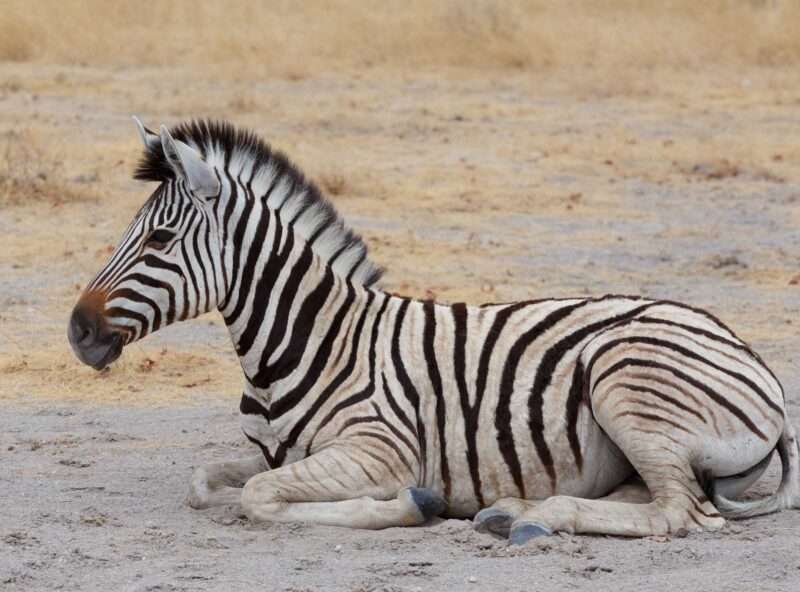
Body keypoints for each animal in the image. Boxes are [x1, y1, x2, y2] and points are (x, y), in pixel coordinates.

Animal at [70, 118, 800, 544]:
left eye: (160, 239)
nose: (77, 331)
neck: (308, 340)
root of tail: (750, 356)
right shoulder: (274, 452)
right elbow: (207, 482)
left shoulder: (377, 450)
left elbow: (258, 497)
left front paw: (408, 506)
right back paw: (515, 510)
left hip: (627, 382)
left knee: (680, 512)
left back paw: (533, 519)